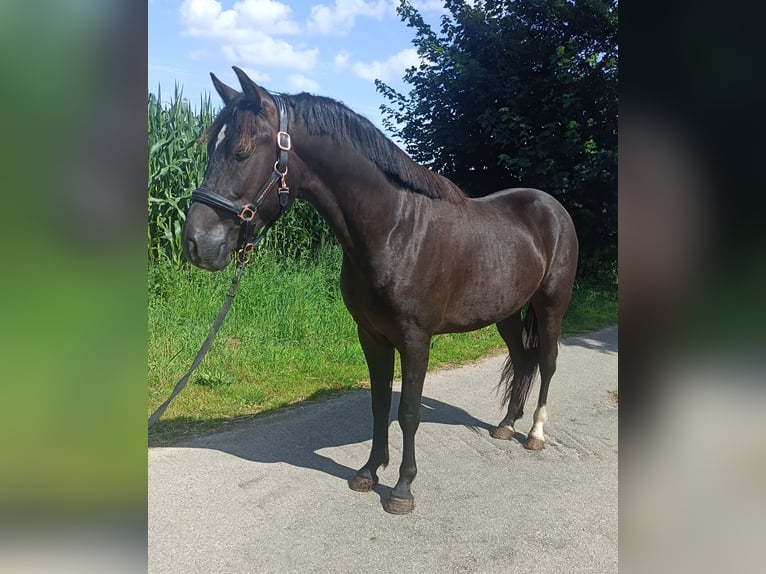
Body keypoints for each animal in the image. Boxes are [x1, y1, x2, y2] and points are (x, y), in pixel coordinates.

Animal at [182, 67, 576, 516]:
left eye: (243, 150)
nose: (196, 243)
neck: (395, 228)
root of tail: (553, 208)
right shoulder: (371, 335)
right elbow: (379, 404)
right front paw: (369, 472)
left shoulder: (416, 339)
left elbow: (408, 413)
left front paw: (403, 489)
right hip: (507, 312)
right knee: (523, 359)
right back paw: (507, 425)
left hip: (550, 306)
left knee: (547, 361)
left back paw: (536, 434)